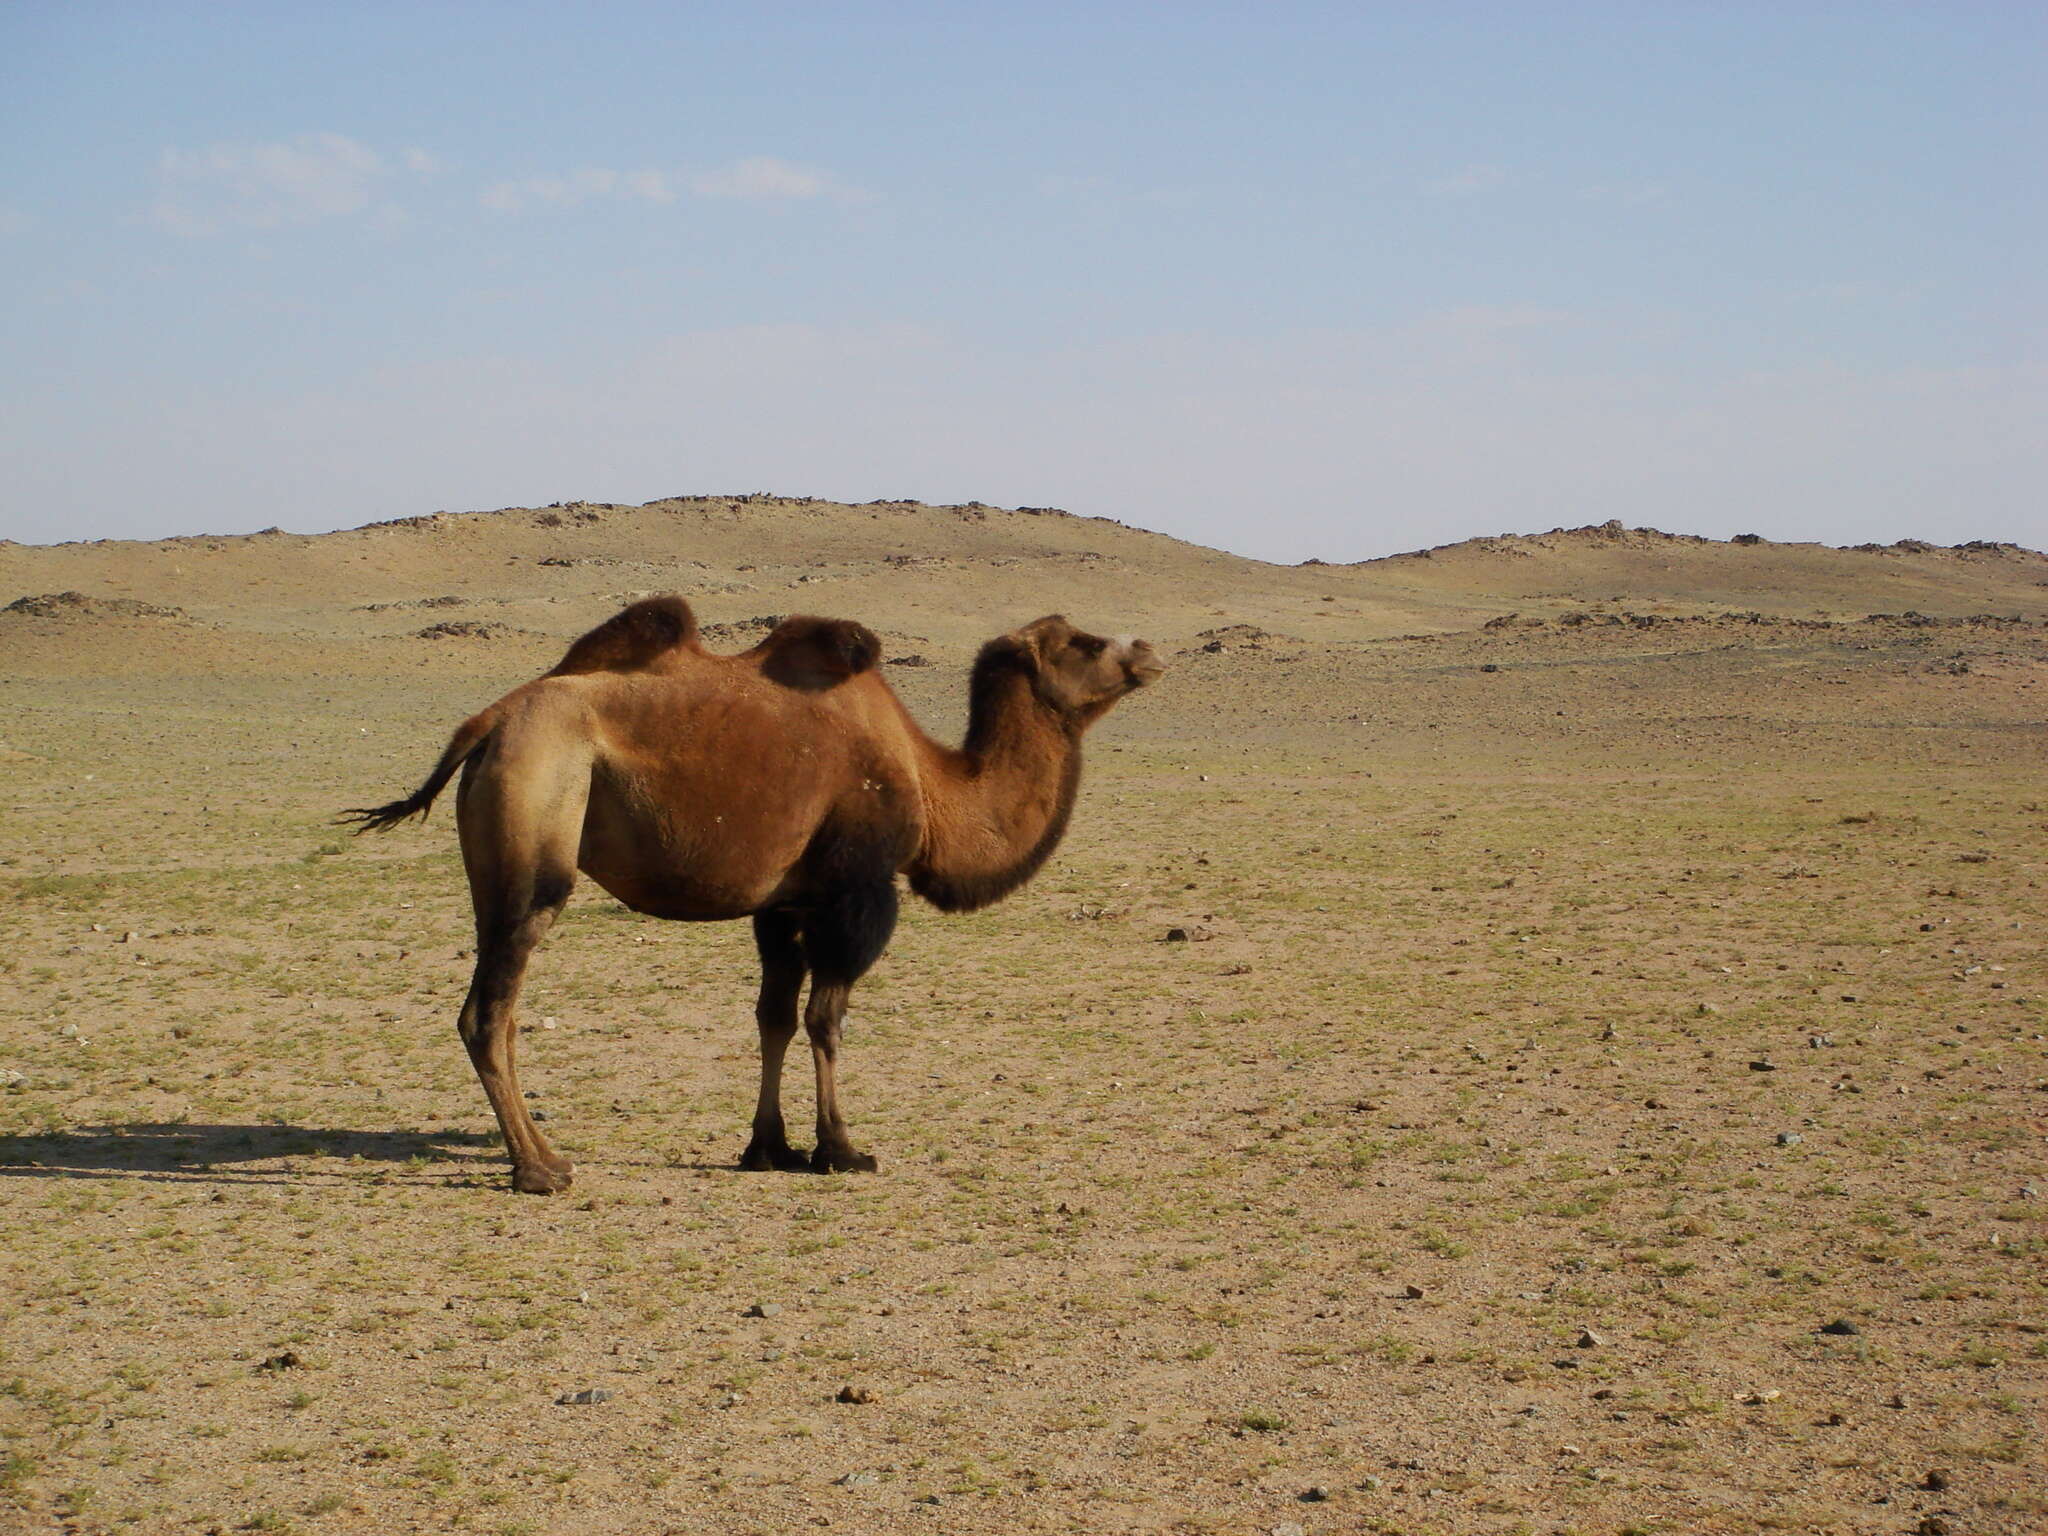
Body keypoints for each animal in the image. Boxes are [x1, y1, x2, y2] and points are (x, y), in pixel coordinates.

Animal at [344, 593, 1163, 1196]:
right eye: (1083, 642)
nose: (1149, 651)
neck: (932, 785)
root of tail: (486, 724)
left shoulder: (784, 902)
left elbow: (774, 1017)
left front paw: (768, 1147)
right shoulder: (856, 893)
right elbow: (826, 1020)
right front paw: (841, 1150)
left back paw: (542, 1156)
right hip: (537, 822)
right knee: (490, 1009)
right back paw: (541, 1169)